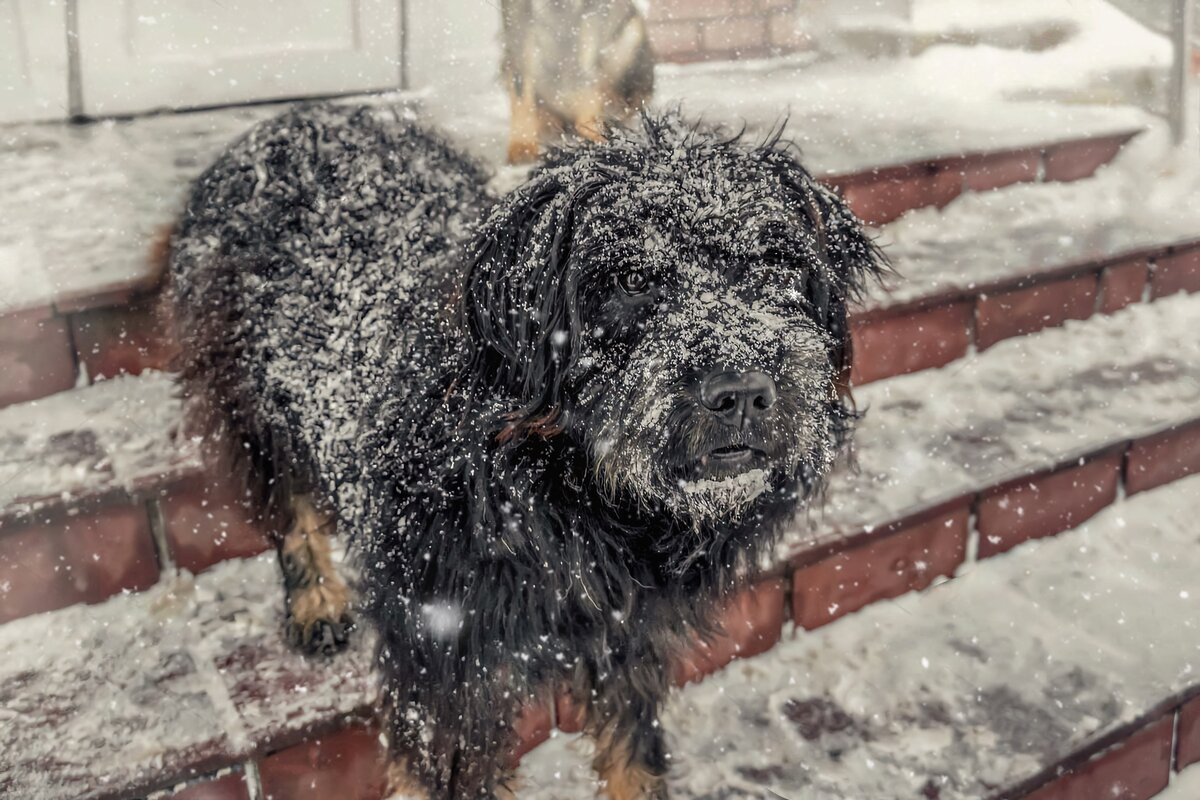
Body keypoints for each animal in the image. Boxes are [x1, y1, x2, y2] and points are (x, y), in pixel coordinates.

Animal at [166, 103, 883, 796]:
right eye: (632, 278)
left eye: (779, 264)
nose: (742, 393)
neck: (564, 491)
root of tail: (296, 118)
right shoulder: (444, 654)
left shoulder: (628, 634)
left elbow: (636, 760)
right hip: (253, 393)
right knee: (287, 498)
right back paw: (316, 599)